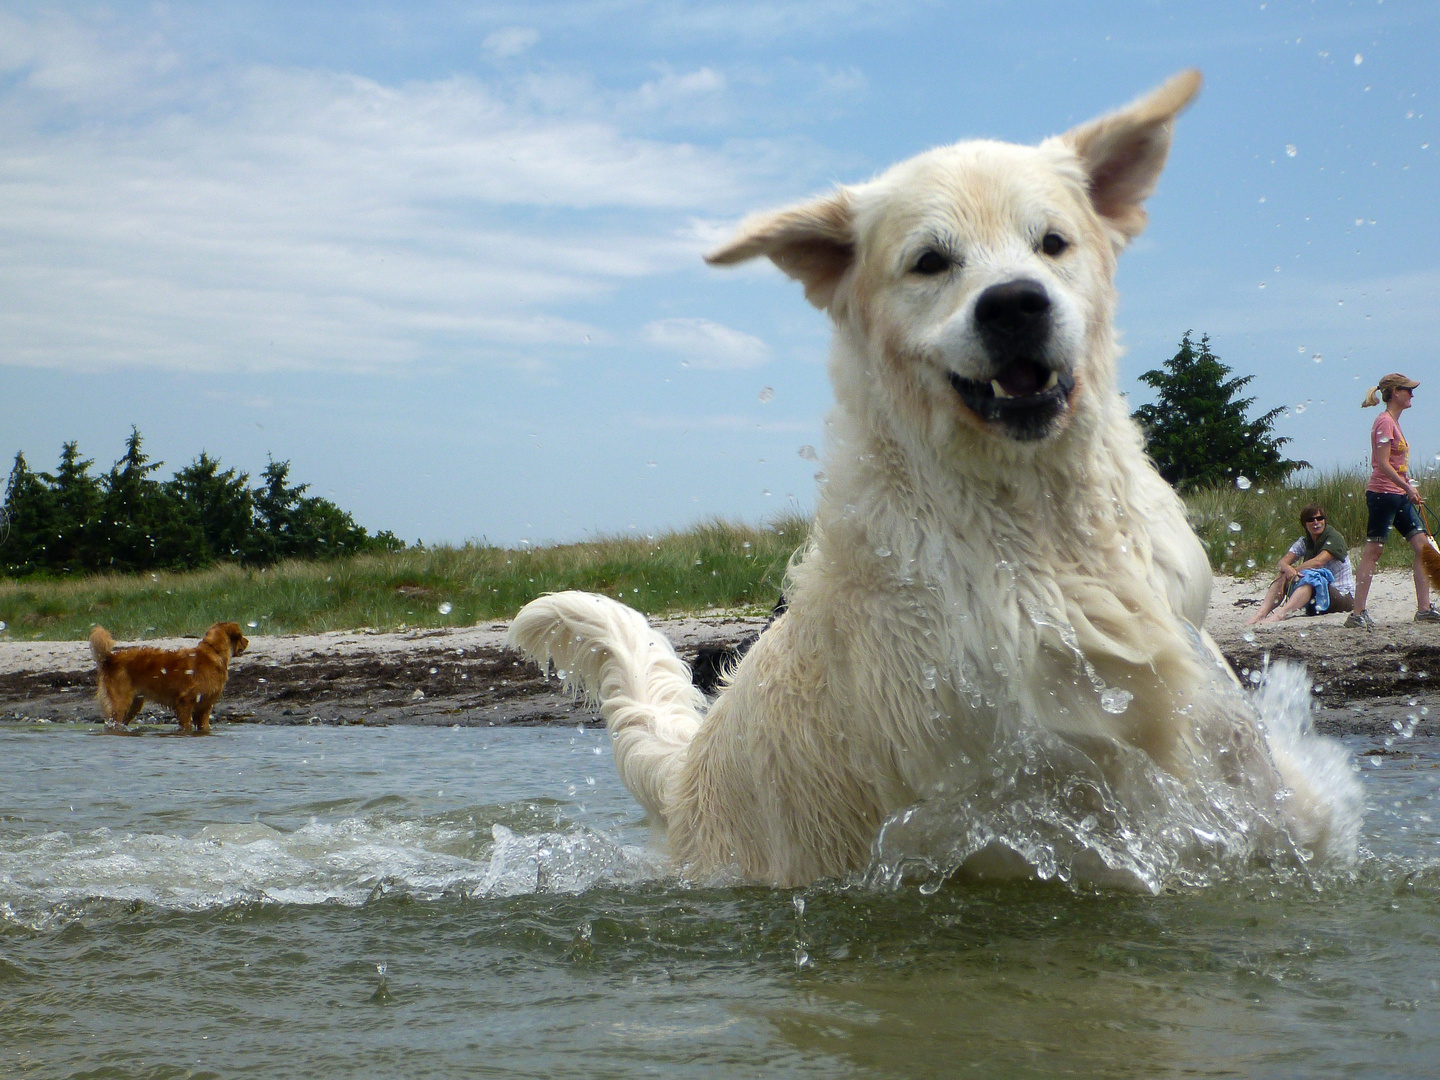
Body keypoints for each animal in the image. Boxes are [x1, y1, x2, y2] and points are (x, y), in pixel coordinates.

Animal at [90, 624, 249, 737]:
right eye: (241, 636)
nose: (247, 640)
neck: (213, 651)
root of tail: (110, 658)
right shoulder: (185, 702)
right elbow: (186, 726)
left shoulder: (204, 707)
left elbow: (204, 727)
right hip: (121, 703)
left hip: (133, 704)